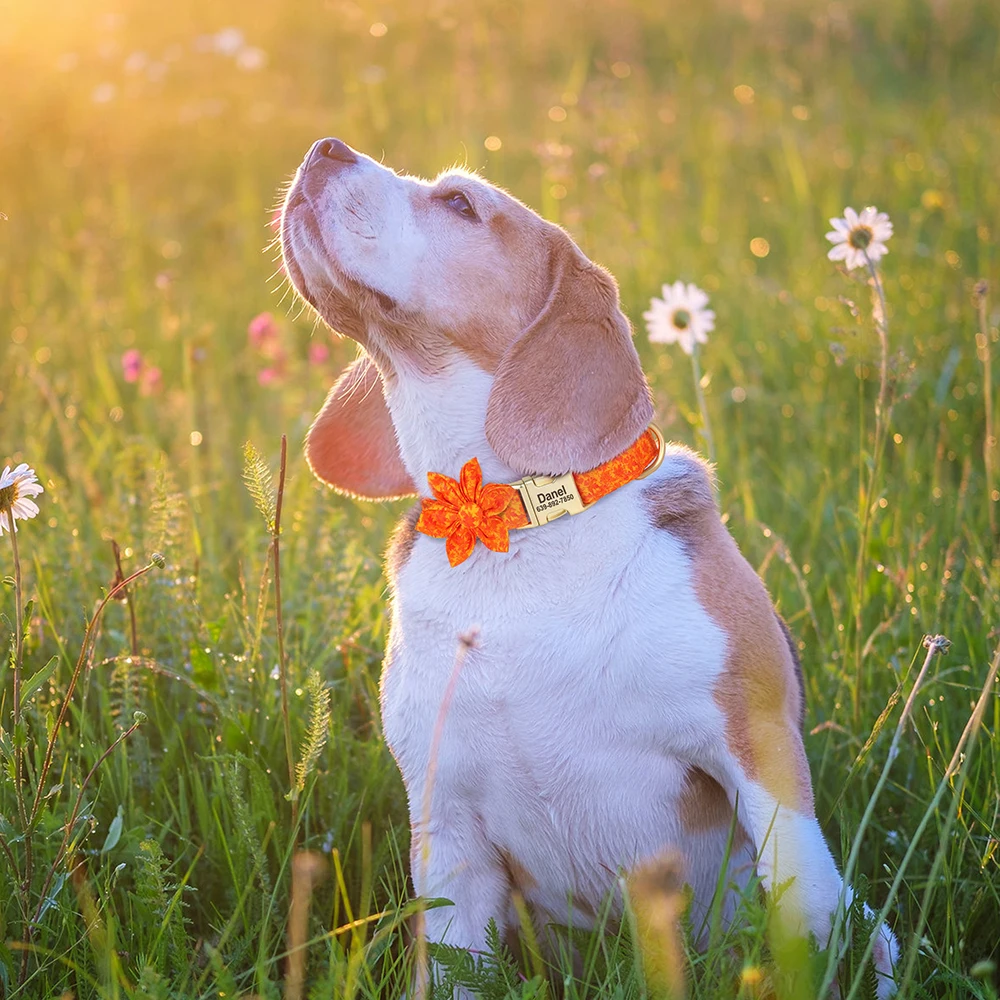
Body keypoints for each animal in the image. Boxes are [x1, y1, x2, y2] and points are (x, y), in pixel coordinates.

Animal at [280, 137, 900, 996]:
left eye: (460, 204)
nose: (323, 148)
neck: (512, 524)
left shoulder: (759, 750)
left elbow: (802, 902)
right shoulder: (447, 824)